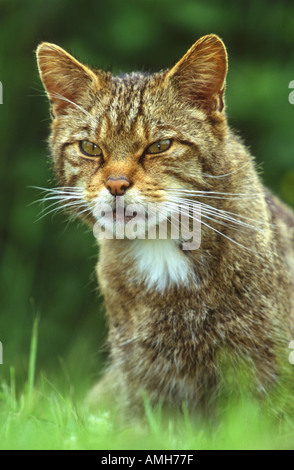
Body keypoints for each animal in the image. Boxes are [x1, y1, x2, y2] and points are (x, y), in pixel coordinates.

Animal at [36, 35, 294, 418]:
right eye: (90, 148)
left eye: (159, 146)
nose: (115, 185)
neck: (161, 248)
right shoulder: (142, 379)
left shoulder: (266, 371)